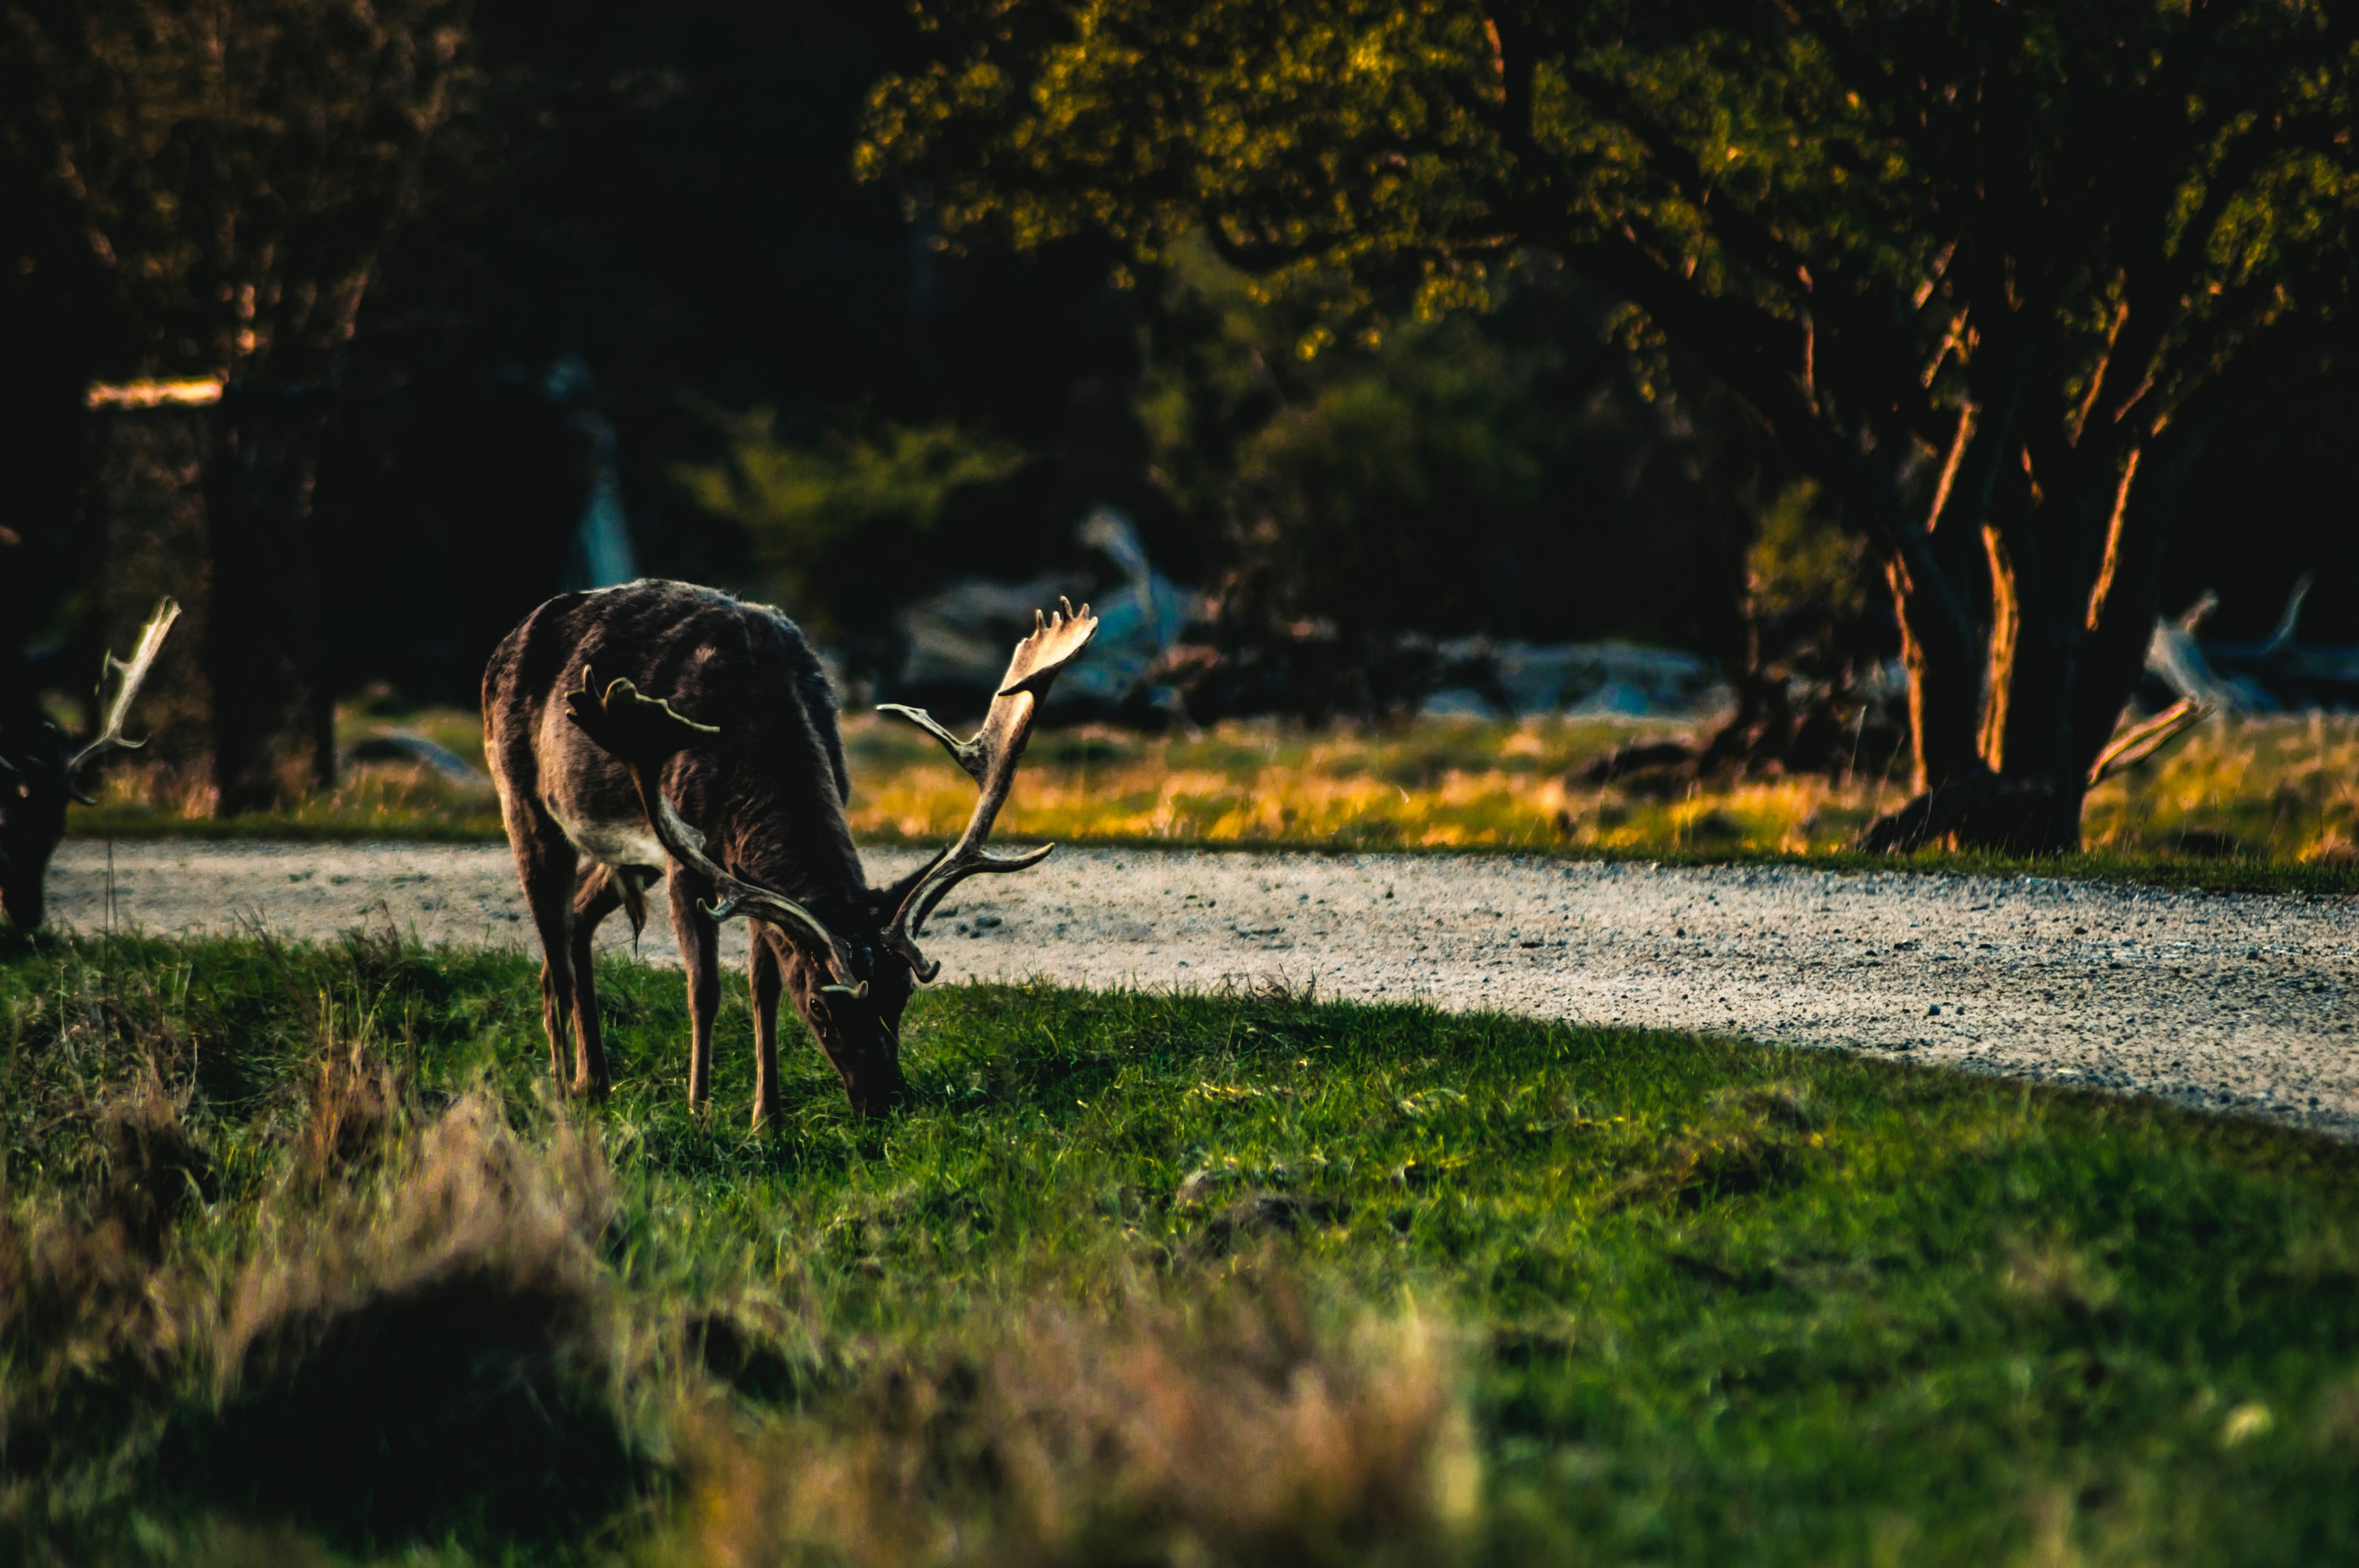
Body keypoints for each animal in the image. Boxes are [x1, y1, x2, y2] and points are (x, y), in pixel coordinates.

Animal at [481, 579, 1096, 1123]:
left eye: (901, 993)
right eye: (822, 1007)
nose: (883, 1100)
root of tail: (501, 647)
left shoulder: (746, 878)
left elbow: (765, 987)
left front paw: (767, 1118)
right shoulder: (688, 862)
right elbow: (704, 989)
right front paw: (699, 1111)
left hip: (625, 858)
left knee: (575, 927)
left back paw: (594, 1083)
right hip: (524, 802)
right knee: (554, 959)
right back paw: (562, 1092)